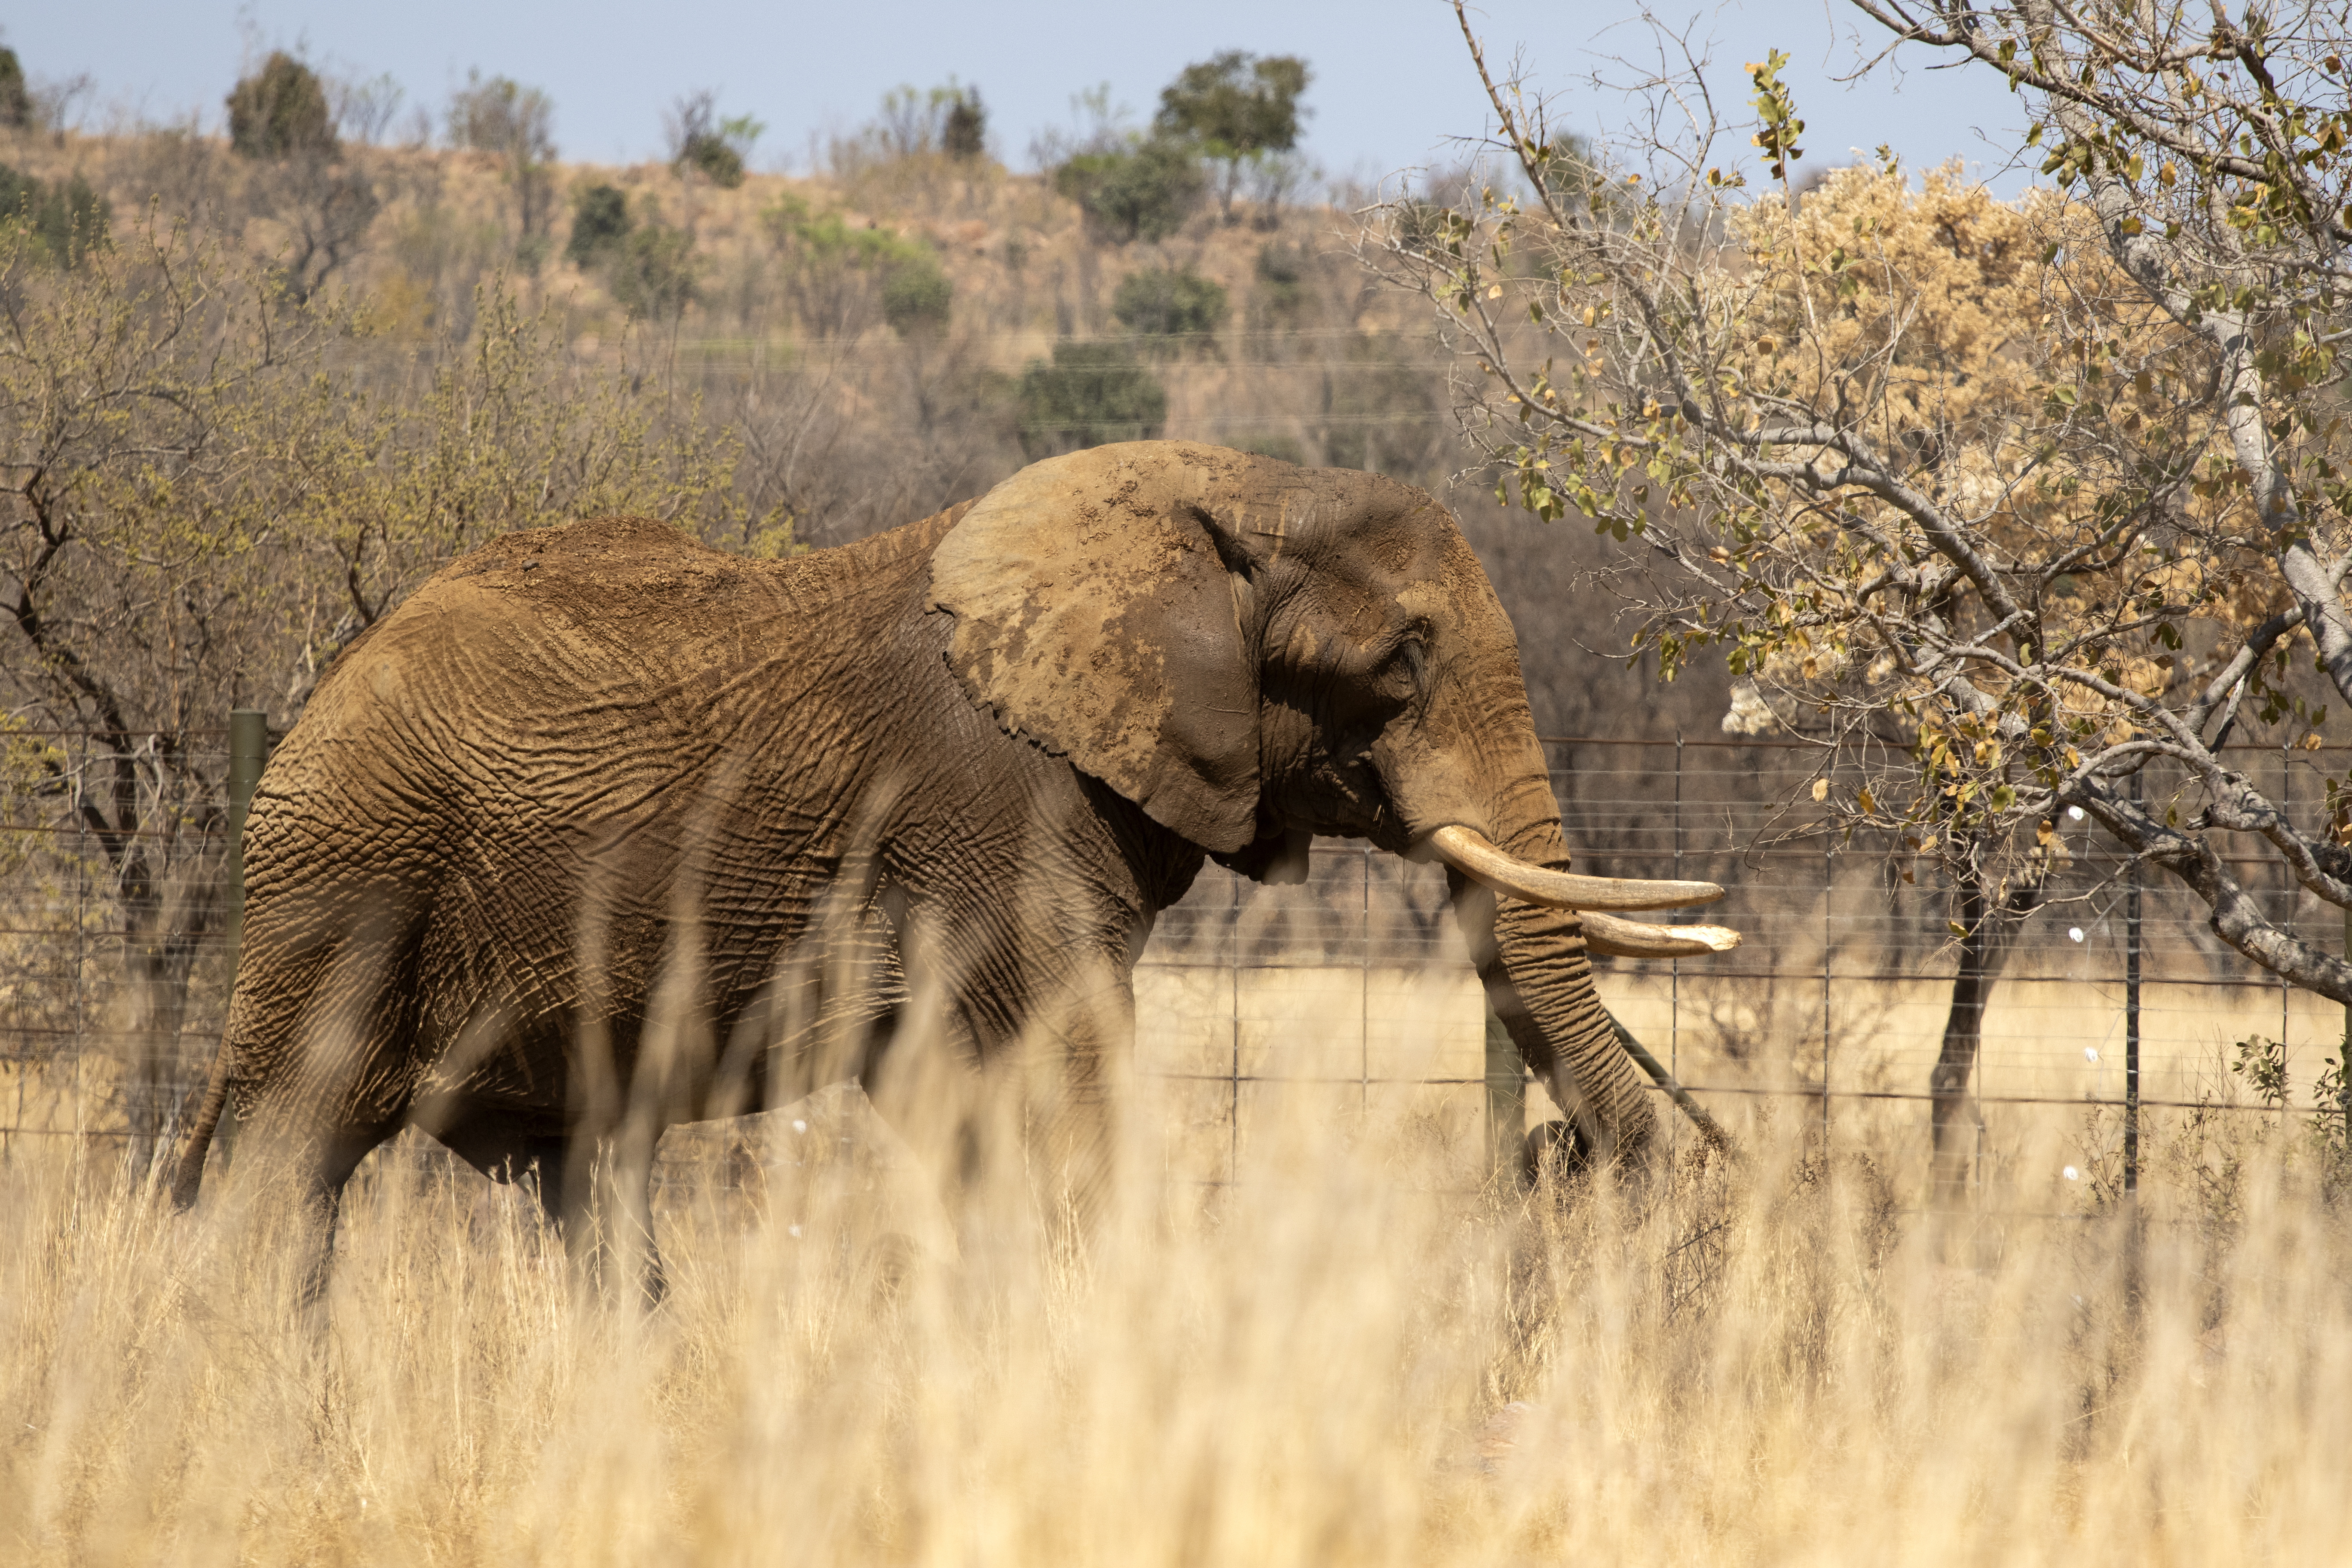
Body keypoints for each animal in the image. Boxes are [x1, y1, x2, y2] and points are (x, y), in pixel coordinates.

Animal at [165, 439, 1740, 1288]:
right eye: (1403, 661)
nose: (1570, 1166)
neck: (1238, 487)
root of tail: (315, 703)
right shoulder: (997, 803)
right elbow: (1069, 1072)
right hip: (350, 878)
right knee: (286, 1161)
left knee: (585, 1183)